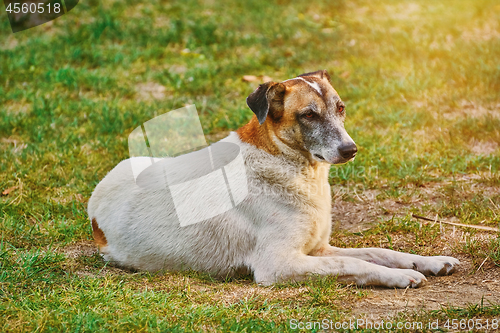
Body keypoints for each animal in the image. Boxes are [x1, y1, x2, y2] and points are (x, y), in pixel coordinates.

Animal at [87, 69, 460, 286]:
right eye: (308, 115)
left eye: (340, 108)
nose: (351, 150)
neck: (289, 163)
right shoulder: (278, 264)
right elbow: (354, 263)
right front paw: (401, 276)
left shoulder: (318, 248)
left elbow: (379, 251)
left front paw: (429, 262)